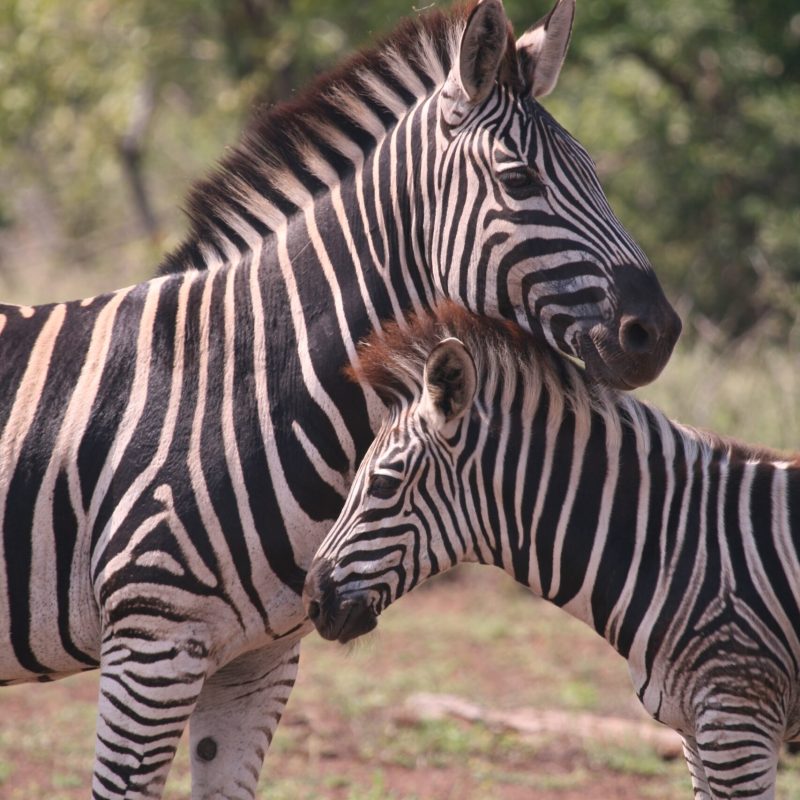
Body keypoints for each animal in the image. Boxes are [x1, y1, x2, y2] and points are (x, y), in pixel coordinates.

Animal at [1, 1, 681, 797]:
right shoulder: (152, 642)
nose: (659, 331)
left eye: (595, 173)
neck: (247, 387)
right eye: (519, 180)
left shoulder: (257, 659)